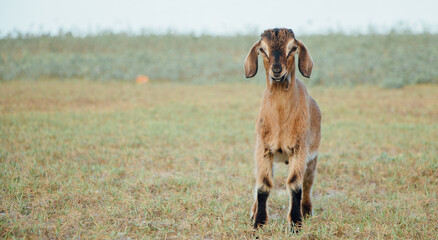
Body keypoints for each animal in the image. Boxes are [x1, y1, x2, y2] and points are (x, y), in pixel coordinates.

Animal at [243, 28, 322, 232]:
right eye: (262, 49)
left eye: (293, 48)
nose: (277, 70)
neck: (280, 121)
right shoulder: (263, 149)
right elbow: (263, 186)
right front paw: (258, 223)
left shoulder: (299, 149)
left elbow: (295, 185)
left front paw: (296, 224)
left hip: (312, 157)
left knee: (308, 182)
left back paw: (307, 211)